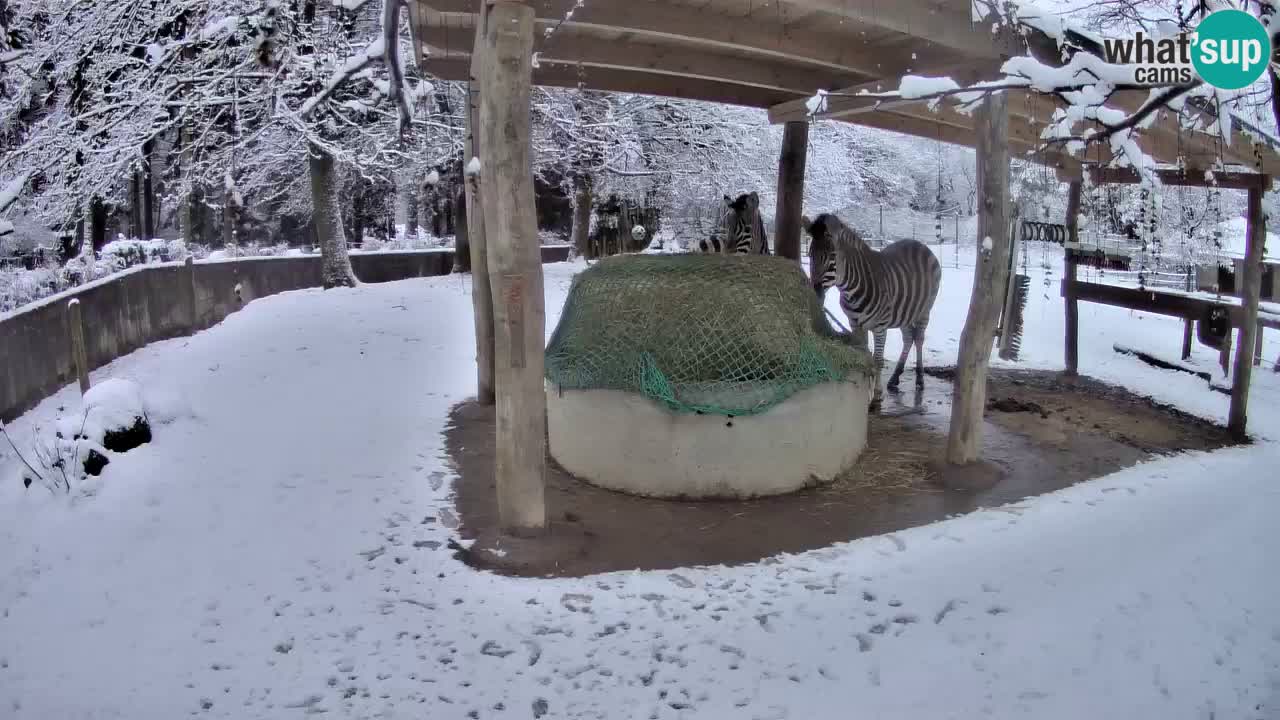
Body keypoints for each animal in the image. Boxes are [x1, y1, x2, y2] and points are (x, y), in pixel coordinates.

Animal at [803, 210, 947, 407]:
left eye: (832, 256)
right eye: (810, 255)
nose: (815, 292)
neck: (851, 289)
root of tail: (919, 244)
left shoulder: (880, 326)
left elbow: (878, 360)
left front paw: (877, 395)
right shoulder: (855, 324)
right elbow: (865, 355)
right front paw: (866, 393)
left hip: (924, 310)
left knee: (918, 339)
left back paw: (919, 379)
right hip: (904, 312)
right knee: (908, 338)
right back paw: (894, 378)